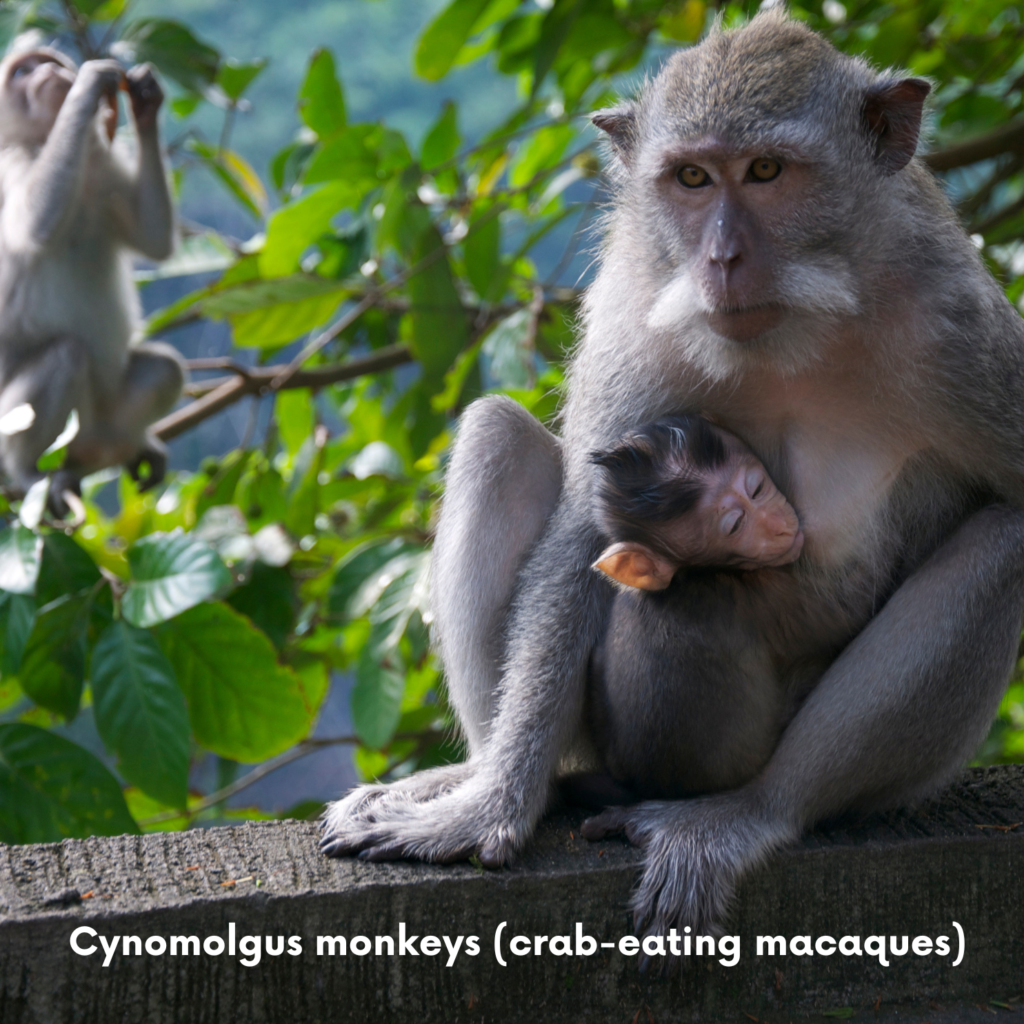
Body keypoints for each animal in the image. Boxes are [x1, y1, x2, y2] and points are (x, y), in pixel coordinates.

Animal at [0, 44, 184, 511]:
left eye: (48, 62)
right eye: (22, 71)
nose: (49, 71)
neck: (45, 141)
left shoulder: (103, 166)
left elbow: (153, 238)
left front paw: (146, 100)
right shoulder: (7, 165)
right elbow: (35, 226)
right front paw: (87, 85)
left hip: (99, 423)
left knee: (166, 369)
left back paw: (127, 449)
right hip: (8, 420)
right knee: (66, 356)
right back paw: (28, 471)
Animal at [322, 10, 1024, 949]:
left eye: (766, 171)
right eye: (691, 178)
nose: (721, 257)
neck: (798, 323)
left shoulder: (960, 331)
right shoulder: (635, 315)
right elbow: (583, 533)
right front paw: (489, 807)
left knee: (1004, 538)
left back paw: (752, 811)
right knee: (495, 434)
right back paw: (484, 776)